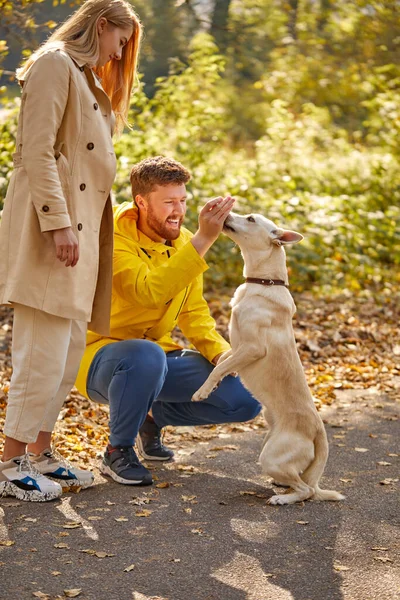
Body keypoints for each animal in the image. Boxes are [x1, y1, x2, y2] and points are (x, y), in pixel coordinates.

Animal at [191, 213, 344, 504]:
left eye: (250, 218)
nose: (227, 213)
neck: (261, 283)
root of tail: (319, 431)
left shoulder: (252, 348)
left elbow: (218, 369)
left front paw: (203, 390)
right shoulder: (237, 346)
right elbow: (223, 362)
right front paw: (217, 381)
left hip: (270, 456)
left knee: (306, 491)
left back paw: (282, 498)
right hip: (269, 448)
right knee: (299, 480)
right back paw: (283, 487)